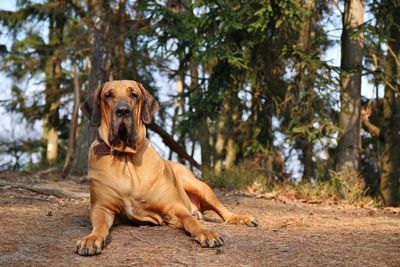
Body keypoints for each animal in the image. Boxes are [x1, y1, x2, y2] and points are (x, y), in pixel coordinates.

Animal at [76, 80, 258, 256]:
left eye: (134, 95)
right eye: (108, 95)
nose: (122, 111)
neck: (125, 157)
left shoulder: (175, 207)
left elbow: (190, 220)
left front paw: (206, 232)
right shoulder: (101, 207)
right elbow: (99, 225)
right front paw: (91, 239)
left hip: (199, 186)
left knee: (224, 213)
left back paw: (242, 218)